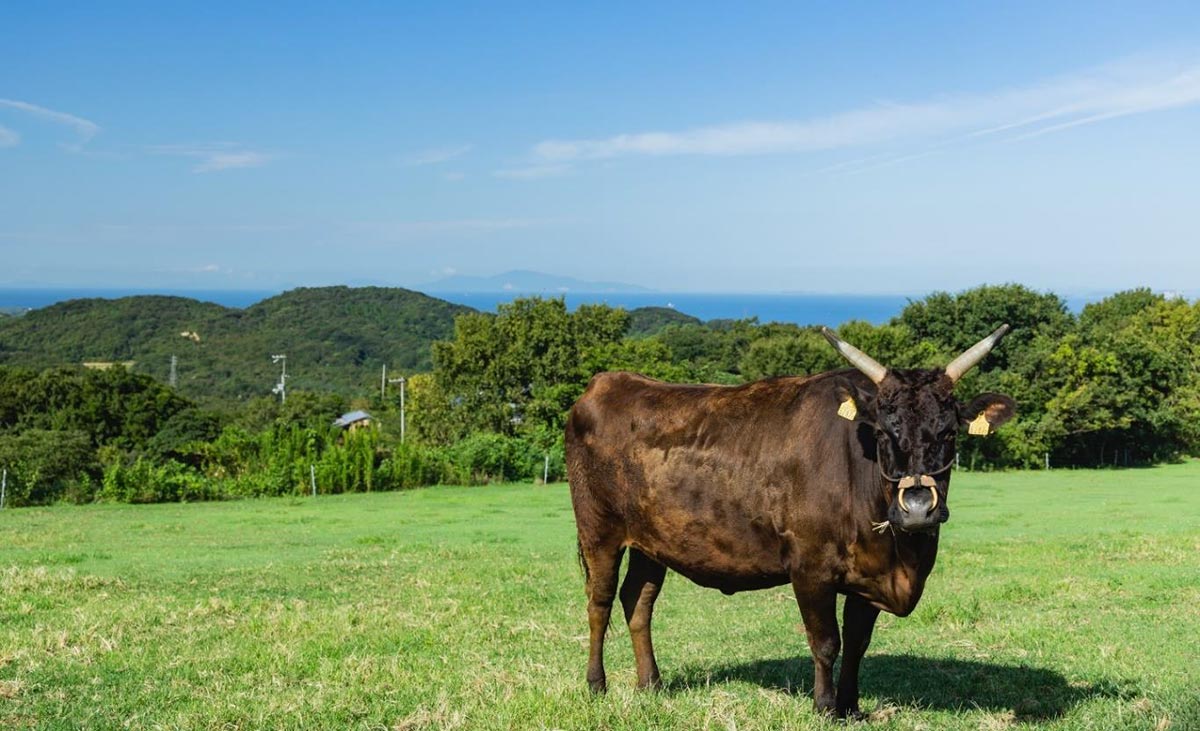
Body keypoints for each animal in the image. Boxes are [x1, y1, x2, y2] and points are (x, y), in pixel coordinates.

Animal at [566, 324, 1017, 720]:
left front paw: (851, 706)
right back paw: (596, 684)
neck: (900, 558)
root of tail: (607, 382)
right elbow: (826, 642)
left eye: (950, 433)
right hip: (598, 531)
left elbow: (857, 644)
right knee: (600, 602)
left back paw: (651, 684)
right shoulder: (810, 569)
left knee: (638, 602)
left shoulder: (868, 578)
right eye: (884, 433)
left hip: (651, 543)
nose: (919, 507)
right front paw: (825, 707)